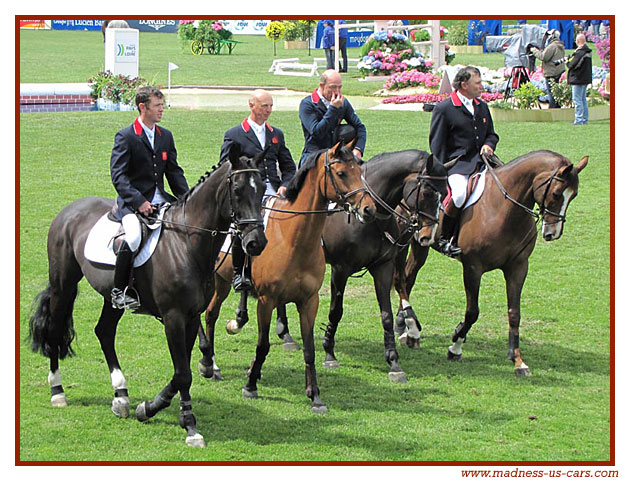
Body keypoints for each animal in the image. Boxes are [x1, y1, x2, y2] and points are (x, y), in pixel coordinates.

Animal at [199, 140, 376, 412]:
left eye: (359, 170)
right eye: (341, 173)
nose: (369, 209)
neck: (294, 238)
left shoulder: (309, 301)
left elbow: (309, 348)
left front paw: (315, 395)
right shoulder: (266, 301)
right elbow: (262, 345)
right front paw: (250, 386)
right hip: (219, 282)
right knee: (210, 314)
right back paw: (212, 365)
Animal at [272, 148, 450, 380]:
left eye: (444, 194)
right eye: (427, 192)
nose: (428, 236)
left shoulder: (383, 266)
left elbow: (386, 314)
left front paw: (394, 361)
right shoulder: (340, 269)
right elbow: (336, 311)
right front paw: (329, 353)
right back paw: (284, 333)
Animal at [398, 150, 592, 376]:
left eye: (574, 195)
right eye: (557, 193)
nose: (552, 233)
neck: (504, 210)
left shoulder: (518, 267)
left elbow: (514, 313)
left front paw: (518, 360)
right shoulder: (473, 268)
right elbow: (472, 312)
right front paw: (455, 346)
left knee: (407, 278)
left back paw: (404, 327)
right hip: (414, 242)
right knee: (405, 278)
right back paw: (407, 330)